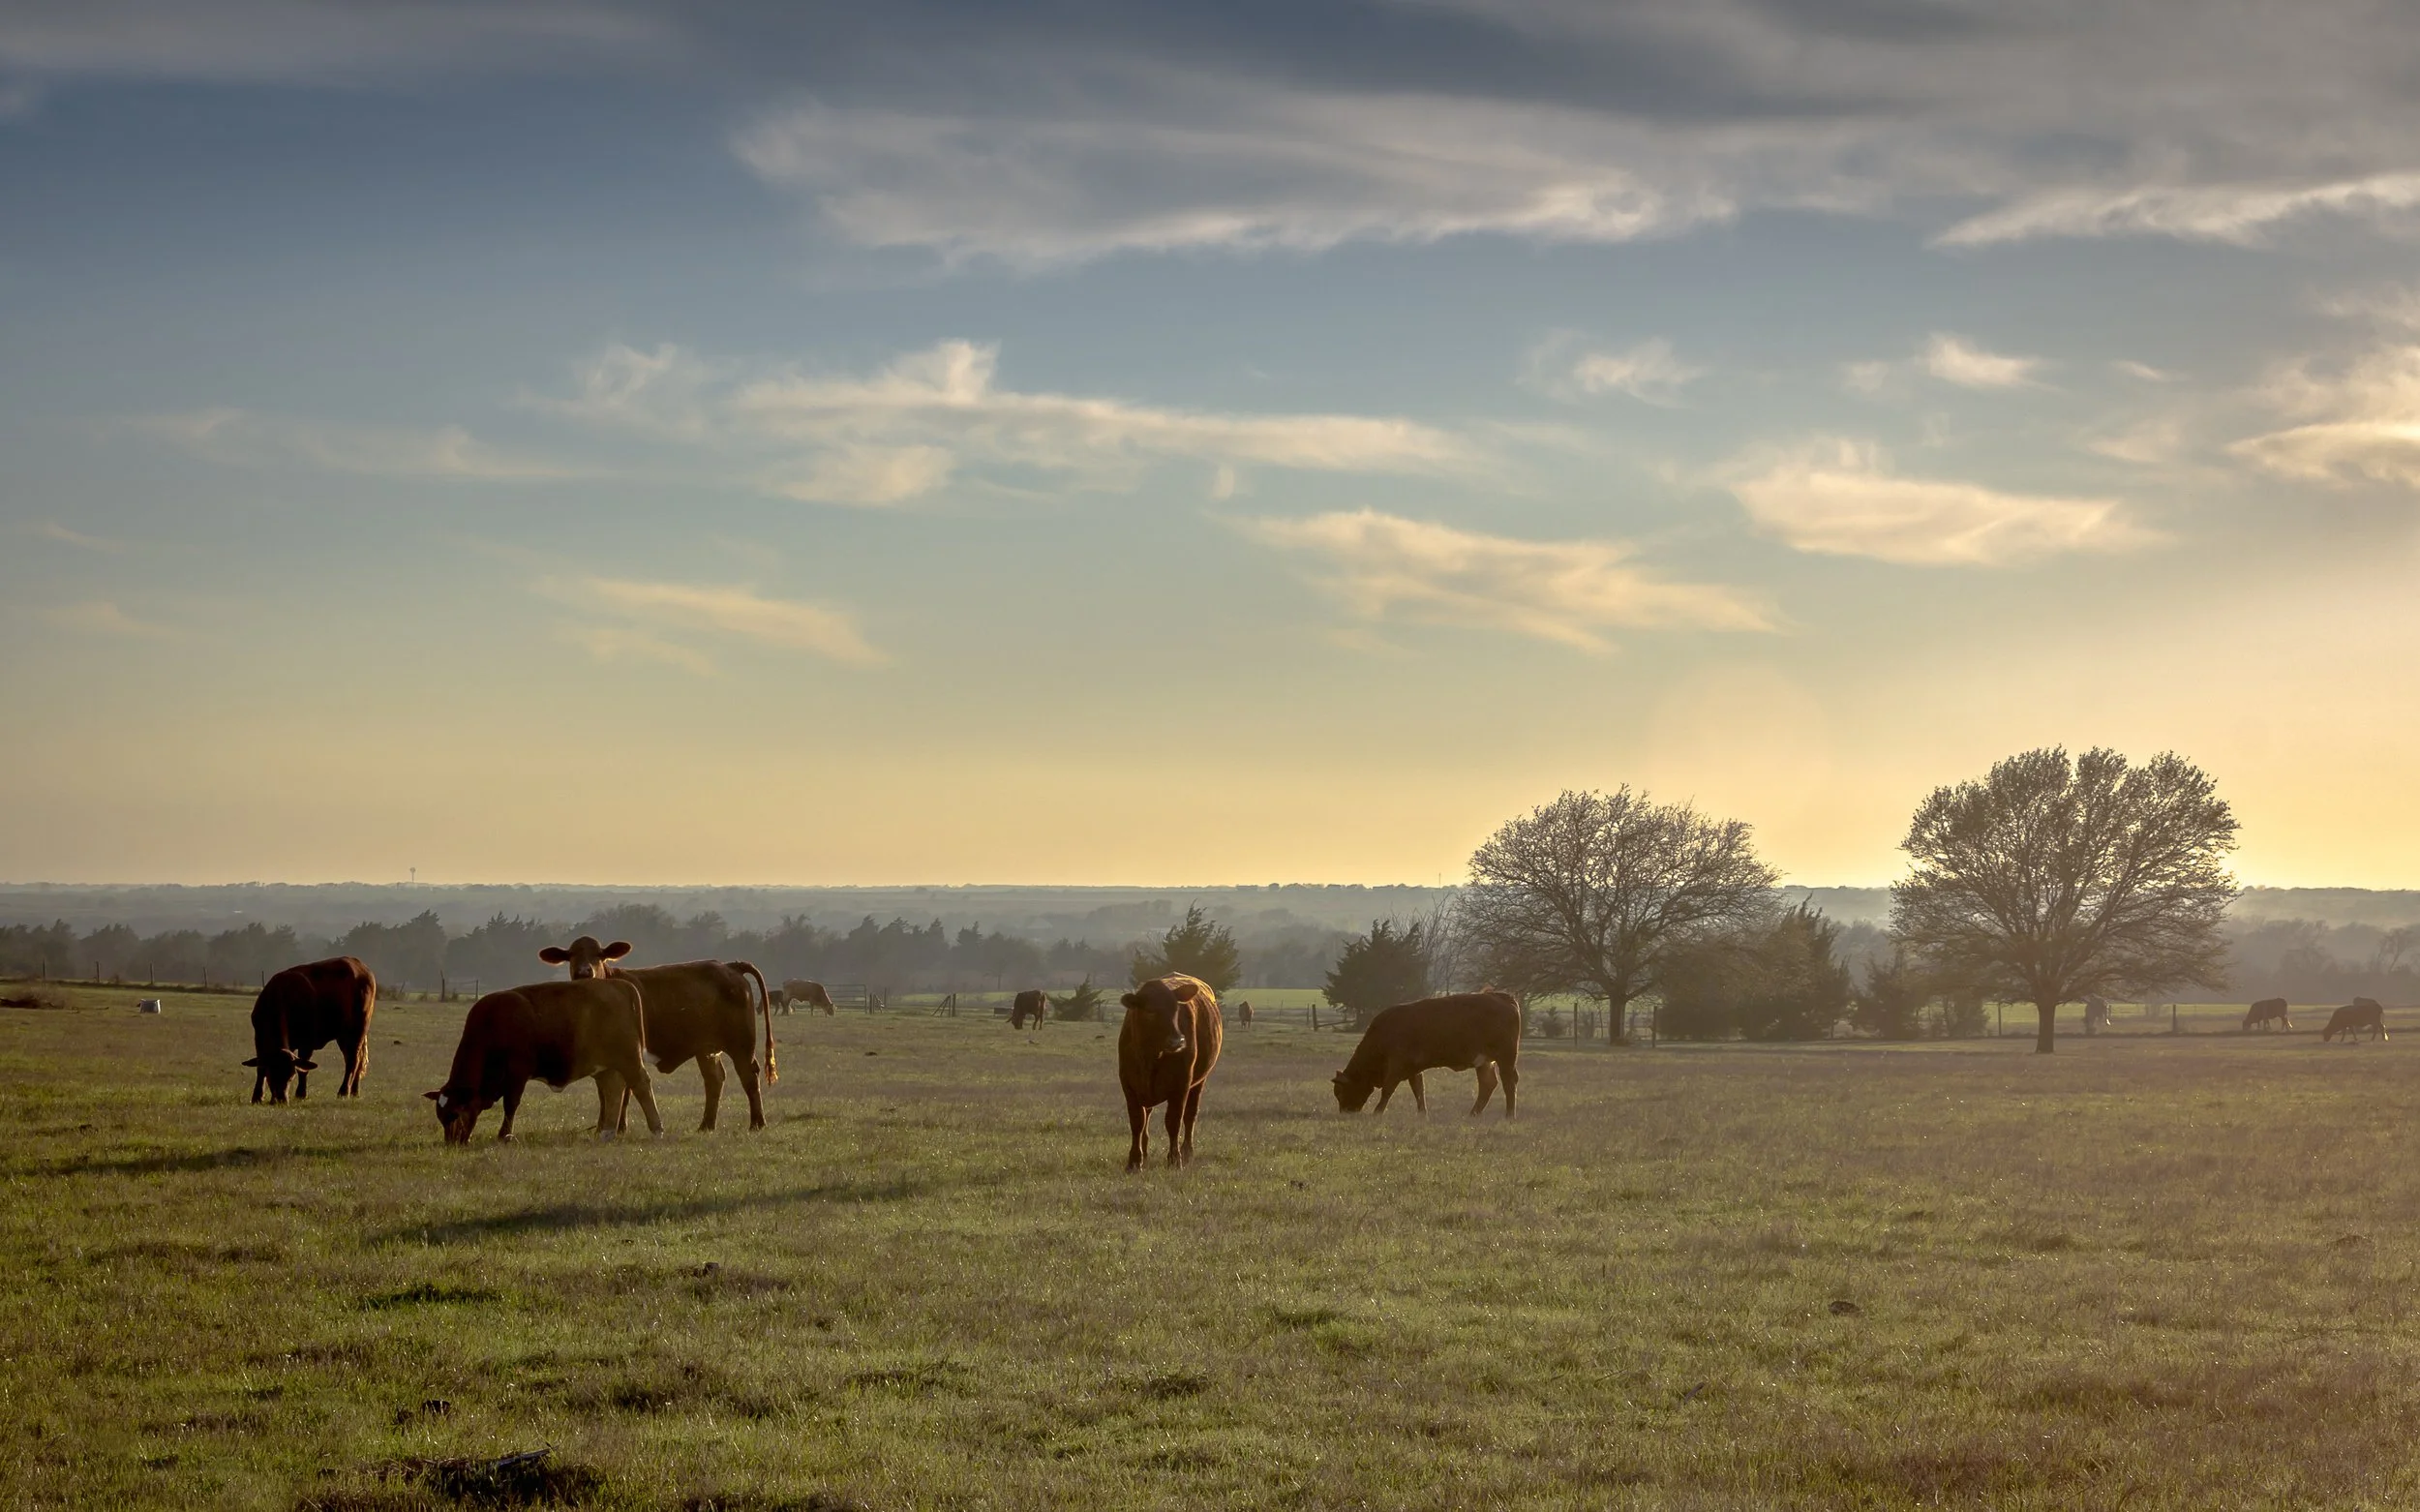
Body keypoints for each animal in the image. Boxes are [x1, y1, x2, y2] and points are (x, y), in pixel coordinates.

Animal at [245, 956, 377, 1104]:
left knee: (353, 1061)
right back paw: (354, 1091)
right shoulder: (259, 1039)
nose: (281, 1099)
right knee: (356, 1060)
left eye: (291, 1075)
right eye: (271, 1074)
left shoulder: (307, 1042)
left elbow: (303, 1069)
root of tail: (360, 965)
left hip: (356, 1031)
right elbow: (260, 1068)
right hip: (344, 1037)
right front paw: (257, 1096)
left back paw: (344, 1091)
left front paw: (301, 1093)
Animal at [424, 977, 661, 1143]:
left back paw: (656, 1130)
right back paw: (607, 1133)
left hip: (628, 1060)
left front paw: (505, 1135)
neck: (493, 1023)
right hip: (606, 1067)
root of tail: (618, 984)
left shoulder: (517, 1073)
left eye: (455, 1113)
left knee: (640, 1085)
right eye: (441, 1116)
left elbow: (511, 1104)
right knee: (614, 1091)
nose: (452, 1143)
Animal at [541, 937, 777, 1131]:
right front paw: (602, 1126)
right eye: (571, 955)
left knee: (749, 1076)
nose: (584, 972)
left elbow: (623, 1091)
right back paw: (706, 1125)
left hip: (741, 1044)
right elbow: (605, 1093)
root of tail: (730, 966)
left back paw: (757, 1123)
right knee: (714, 1079)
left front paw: (619, 1127)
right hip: (706, 1049)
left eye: (599, 954)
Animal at [1119, 974, 1223, 1171]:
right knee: (1147, 1115)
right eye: (1150, 1011)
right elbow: (1137, 1122)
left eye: (1176, 1009)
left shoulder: (1180, 1086)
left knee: (1190, 1116)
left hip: (1199, 1082)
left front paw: (1175, 1159)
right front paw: (1135, 1161)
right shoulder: (1129, 1086)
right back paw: (1145, 1151)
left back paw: (1187, 1152)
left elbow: (1173, 1122)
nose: (1177, 1041)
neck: (1150, 1057)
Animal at [1332, 991, 1521, 1119]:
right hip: (1484, 1062)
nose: (1345, 1112)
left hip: (1506, 1058)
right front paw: (1422, 1113)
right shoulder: (1413, 1069)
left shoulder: (1397, 1066)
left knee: (1508, 1084)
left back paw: (1509, 1115)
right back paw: (1473, 1113)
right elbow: (1418, 1090)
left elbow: (1388, 1089)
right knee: (1487, 1085)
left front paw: (1377, 1112)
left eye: (1340, 1092)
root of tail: (1502, 996)